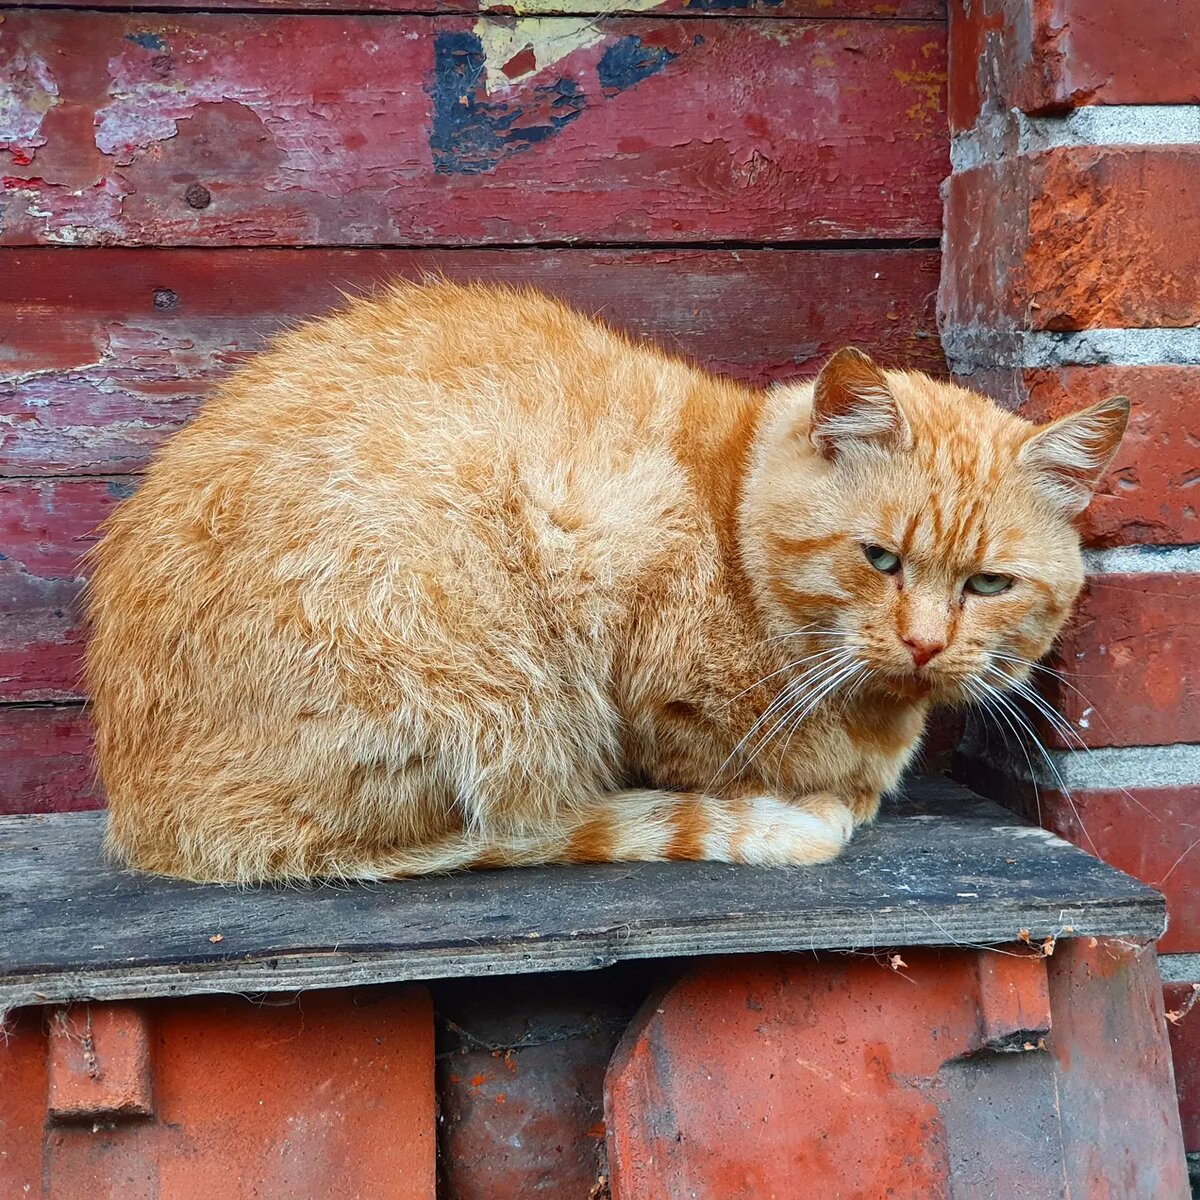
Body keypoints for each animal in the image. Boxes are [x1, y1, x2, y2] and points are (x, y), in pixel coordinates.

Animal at [82, 280, 1123, 883]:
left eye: (988, 585)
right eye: (880, 560)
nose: (924, 643)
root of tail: (148, 817)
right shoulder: (624, 559)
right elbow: (715, 758)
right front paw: (820, 794)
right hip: (488, 688)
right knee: (508, 825)